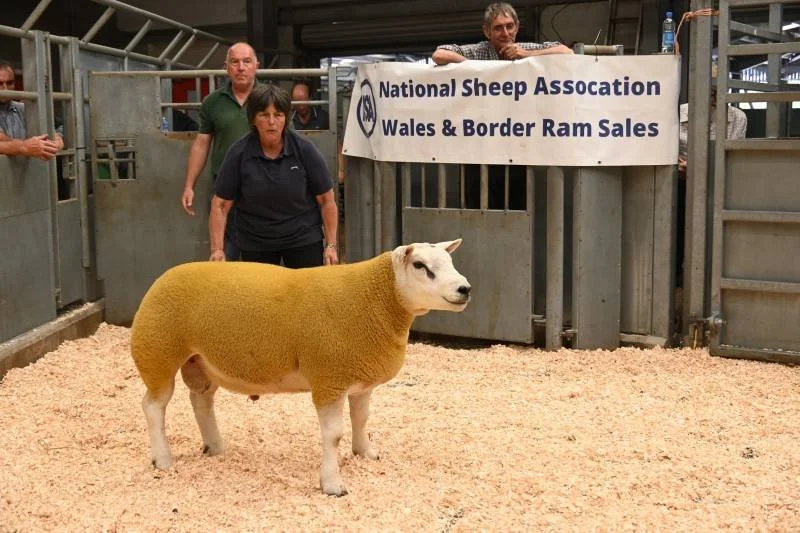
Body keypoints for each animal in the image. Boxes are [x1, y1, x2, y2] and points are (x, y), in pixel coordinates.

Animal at [130, 238, 471, 496]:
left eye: (448, 261)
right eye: (420, 266)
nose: (464, 289)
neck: (374, 298)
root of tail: (161, 278)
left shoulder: (360, 379)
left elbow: (361, 419)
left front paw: (366, 453)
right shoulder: (329, 378)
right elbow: (334, 435)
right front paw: (332, 485)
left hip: (199, 362)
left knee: (201, 401)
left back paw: (214, 447)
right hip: (157, 353)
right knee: (153, 407)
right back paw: (163, 459)